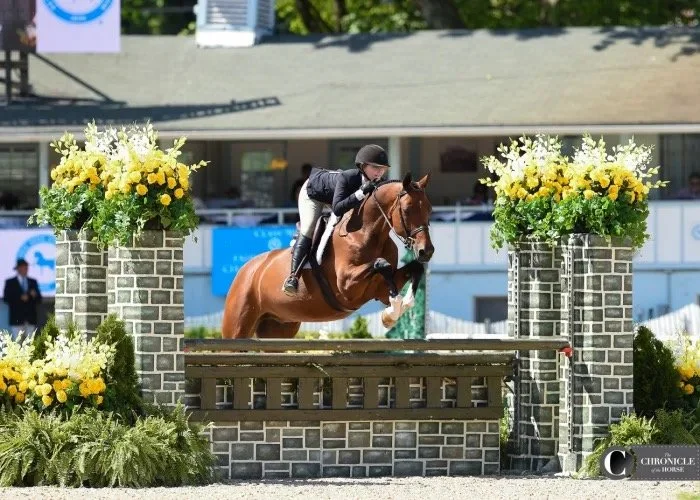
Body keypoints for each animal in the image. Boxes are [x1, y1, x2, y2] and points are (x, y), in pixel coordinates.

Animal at [221, 172, 435, 339]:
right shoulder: (347, 286)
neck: (368, 233)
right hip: (237, 326)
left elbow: (413, 269)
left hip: (278, 328)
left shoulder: (380, 288)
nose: (426, 251)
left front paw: (394, 310)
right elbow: (382, 264)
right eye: (407, 209)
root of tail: (247, 269)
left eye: (430, 209)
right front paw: (393, 310)